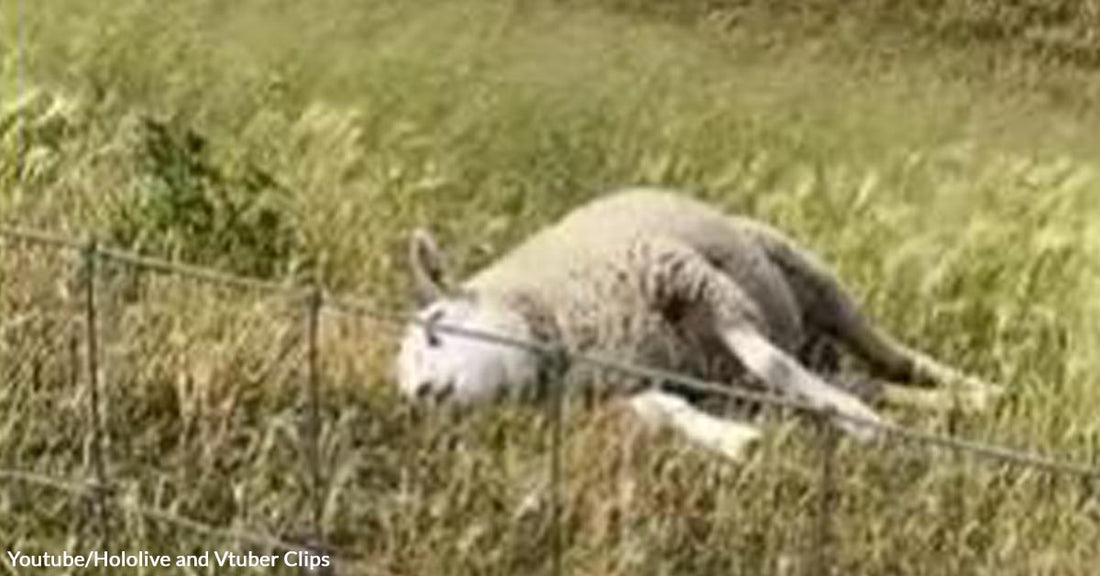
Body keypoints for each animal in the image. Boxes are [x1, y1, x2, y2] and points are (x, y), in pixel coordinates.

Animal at [396, 188, 1002, 459]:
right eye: (403, 387)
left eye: (436, 328)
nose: (422, 395)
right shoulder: (621, 384)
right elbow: (664, 410)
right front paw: (735, 441)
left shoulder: (689, 278)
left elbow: (768, 359)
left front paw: (862, 427)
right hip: (813, 348)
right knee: (870, 382)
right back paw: (942, 407)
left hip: (810, 276)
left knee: (887, 353)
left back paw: (976, 391)